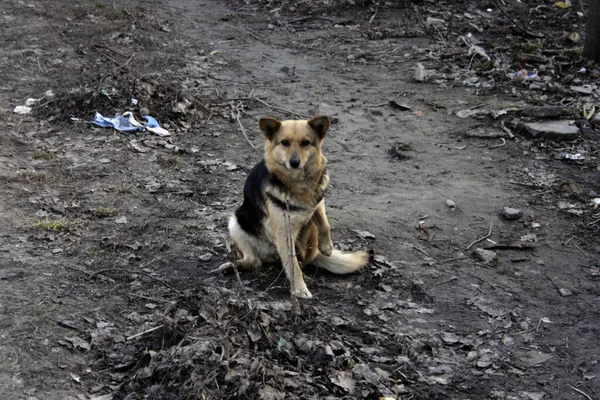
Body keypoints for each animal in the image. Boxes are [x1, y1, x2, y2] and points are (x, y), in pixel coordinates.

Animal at [227, 115, 368, 296]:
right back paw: (232, 266)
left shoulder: (318, 202)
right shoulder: (284, 233)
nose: (294, 162)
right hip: (236, 221)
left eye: (305, 143)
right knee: (254, 260)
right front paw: (300, 289)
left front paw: (327, 246)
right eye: (285, 142)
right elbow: (293, 266)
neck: (299, 184)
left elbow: (324, 224)